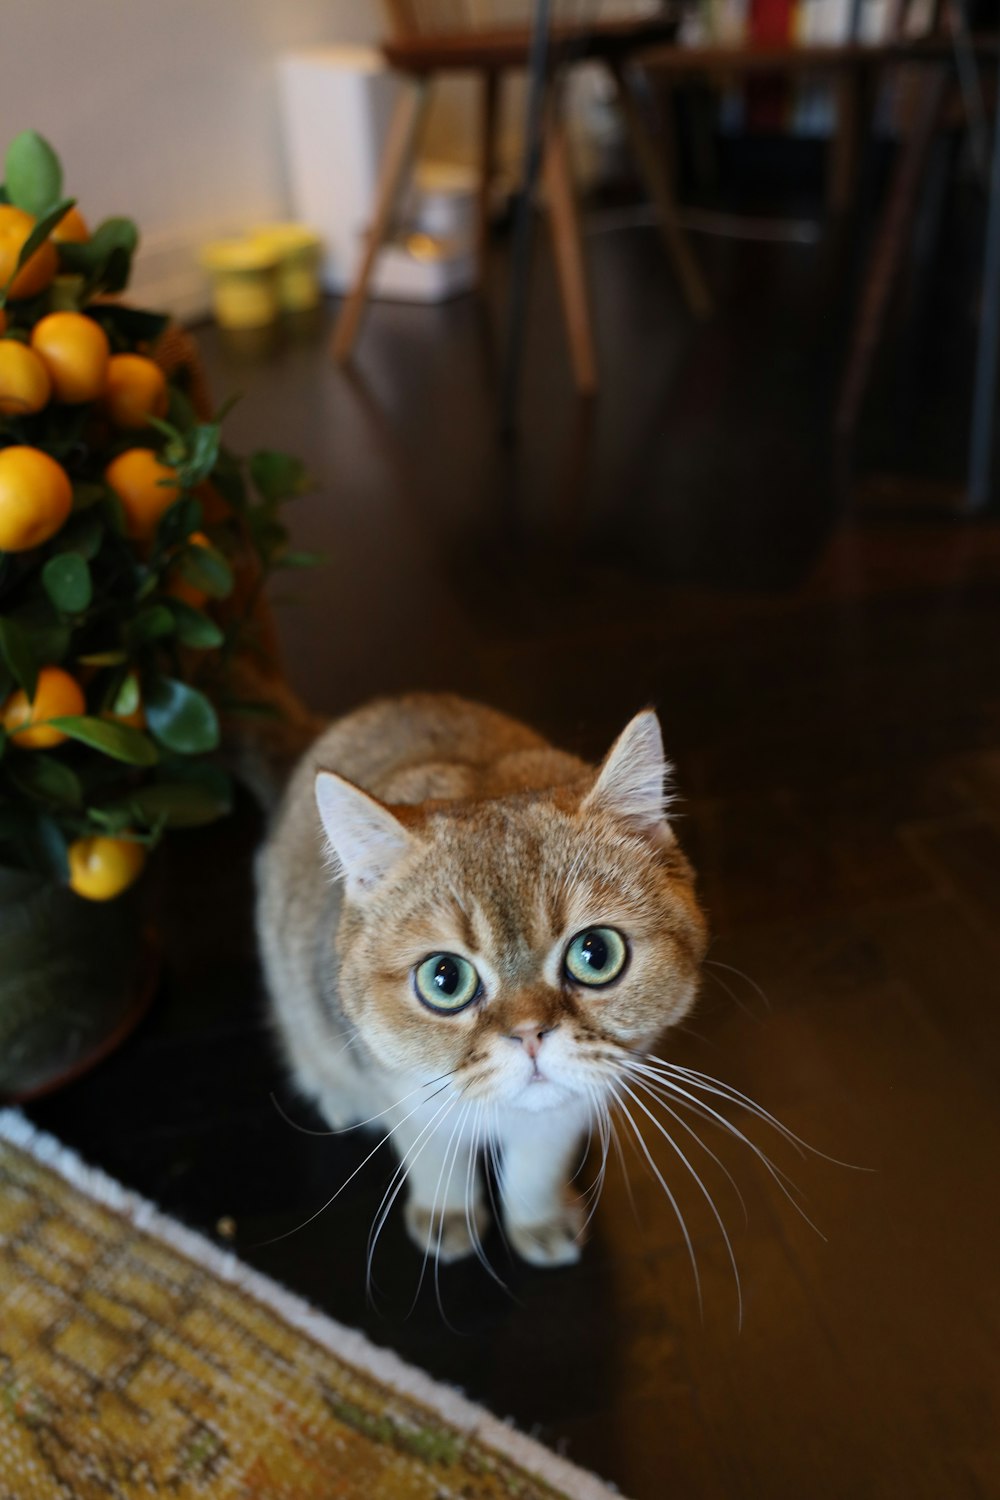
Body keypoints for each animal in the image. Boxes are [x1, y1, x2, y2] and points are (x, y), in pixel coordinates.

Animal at [257, 690, 710, 1266]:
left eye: (596, 953)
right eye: (444, 979)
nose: (530, 1035)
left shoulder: (572, 1107)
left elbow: (536, 1168)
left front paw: (539, 1220)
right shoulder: (404, 1093)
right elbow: (432, 1158)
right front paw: (446, 1214)